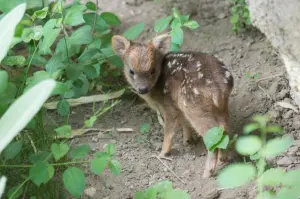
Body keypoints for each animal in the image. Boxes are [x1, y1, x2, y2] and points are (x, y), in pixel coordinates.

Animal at [111, 33, 233, 177]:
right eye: (131, 71)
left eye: (152, 70)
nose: (143, 89)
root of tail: (219, 88)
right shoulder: (178, 105)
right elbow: (185, 123)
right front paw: (187, 141)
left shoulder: (169, 105)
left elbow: (169, 130)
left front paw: (163, 153)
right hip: (220, 106)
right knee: (224, 128)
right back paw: (223, 159)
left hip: (194, 107)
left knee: (213, 134)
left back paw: (207, 173)